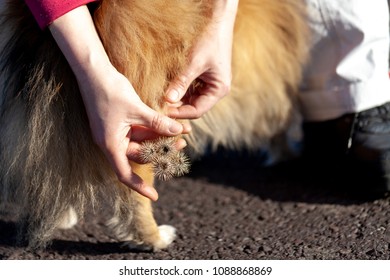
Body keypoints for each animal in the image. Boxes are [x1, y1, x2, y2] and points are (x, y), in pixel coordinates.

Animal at [0, 0, 308, 249]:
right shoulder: (269, 64)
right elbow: (280, 116)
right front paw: (285, 152)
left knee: (48, 157)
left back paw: (60, 214)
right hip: (144, 117)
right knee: (133, 190)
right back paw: (154, 238)